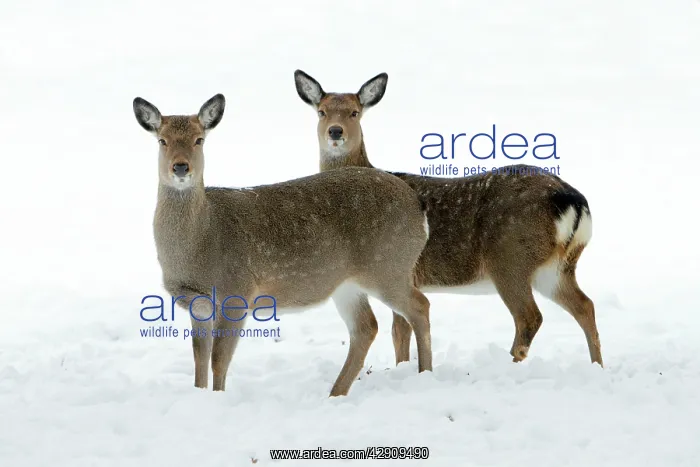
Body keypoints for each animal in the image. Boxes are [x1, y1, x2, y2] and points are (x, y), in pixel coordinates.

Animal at [132, 93, 434, 397]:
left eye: (199, 139)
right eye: (162, 140)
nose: (181, 167)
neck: (202, 240)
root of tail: (418, 205)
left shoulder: (237, 291)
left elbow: (219, 359)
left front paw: (218, 398)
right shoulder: (198, 304)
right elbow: (198, 359)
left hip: (388, 265)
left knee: (419, 306)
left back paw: (425, 373)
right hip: (348, 283)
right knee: (366, 327)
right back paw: (335, 393)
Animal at [294, 70, 603, 368]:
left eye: (354, 112)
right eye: (321, 111)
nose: (335, 131)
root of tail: (572, 200)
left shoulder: (399, 270)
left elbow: (399, 331)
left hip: (510, 256)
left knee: (530, 316)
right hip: (556, 266)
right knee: (585, 306)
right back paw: (597, 366)